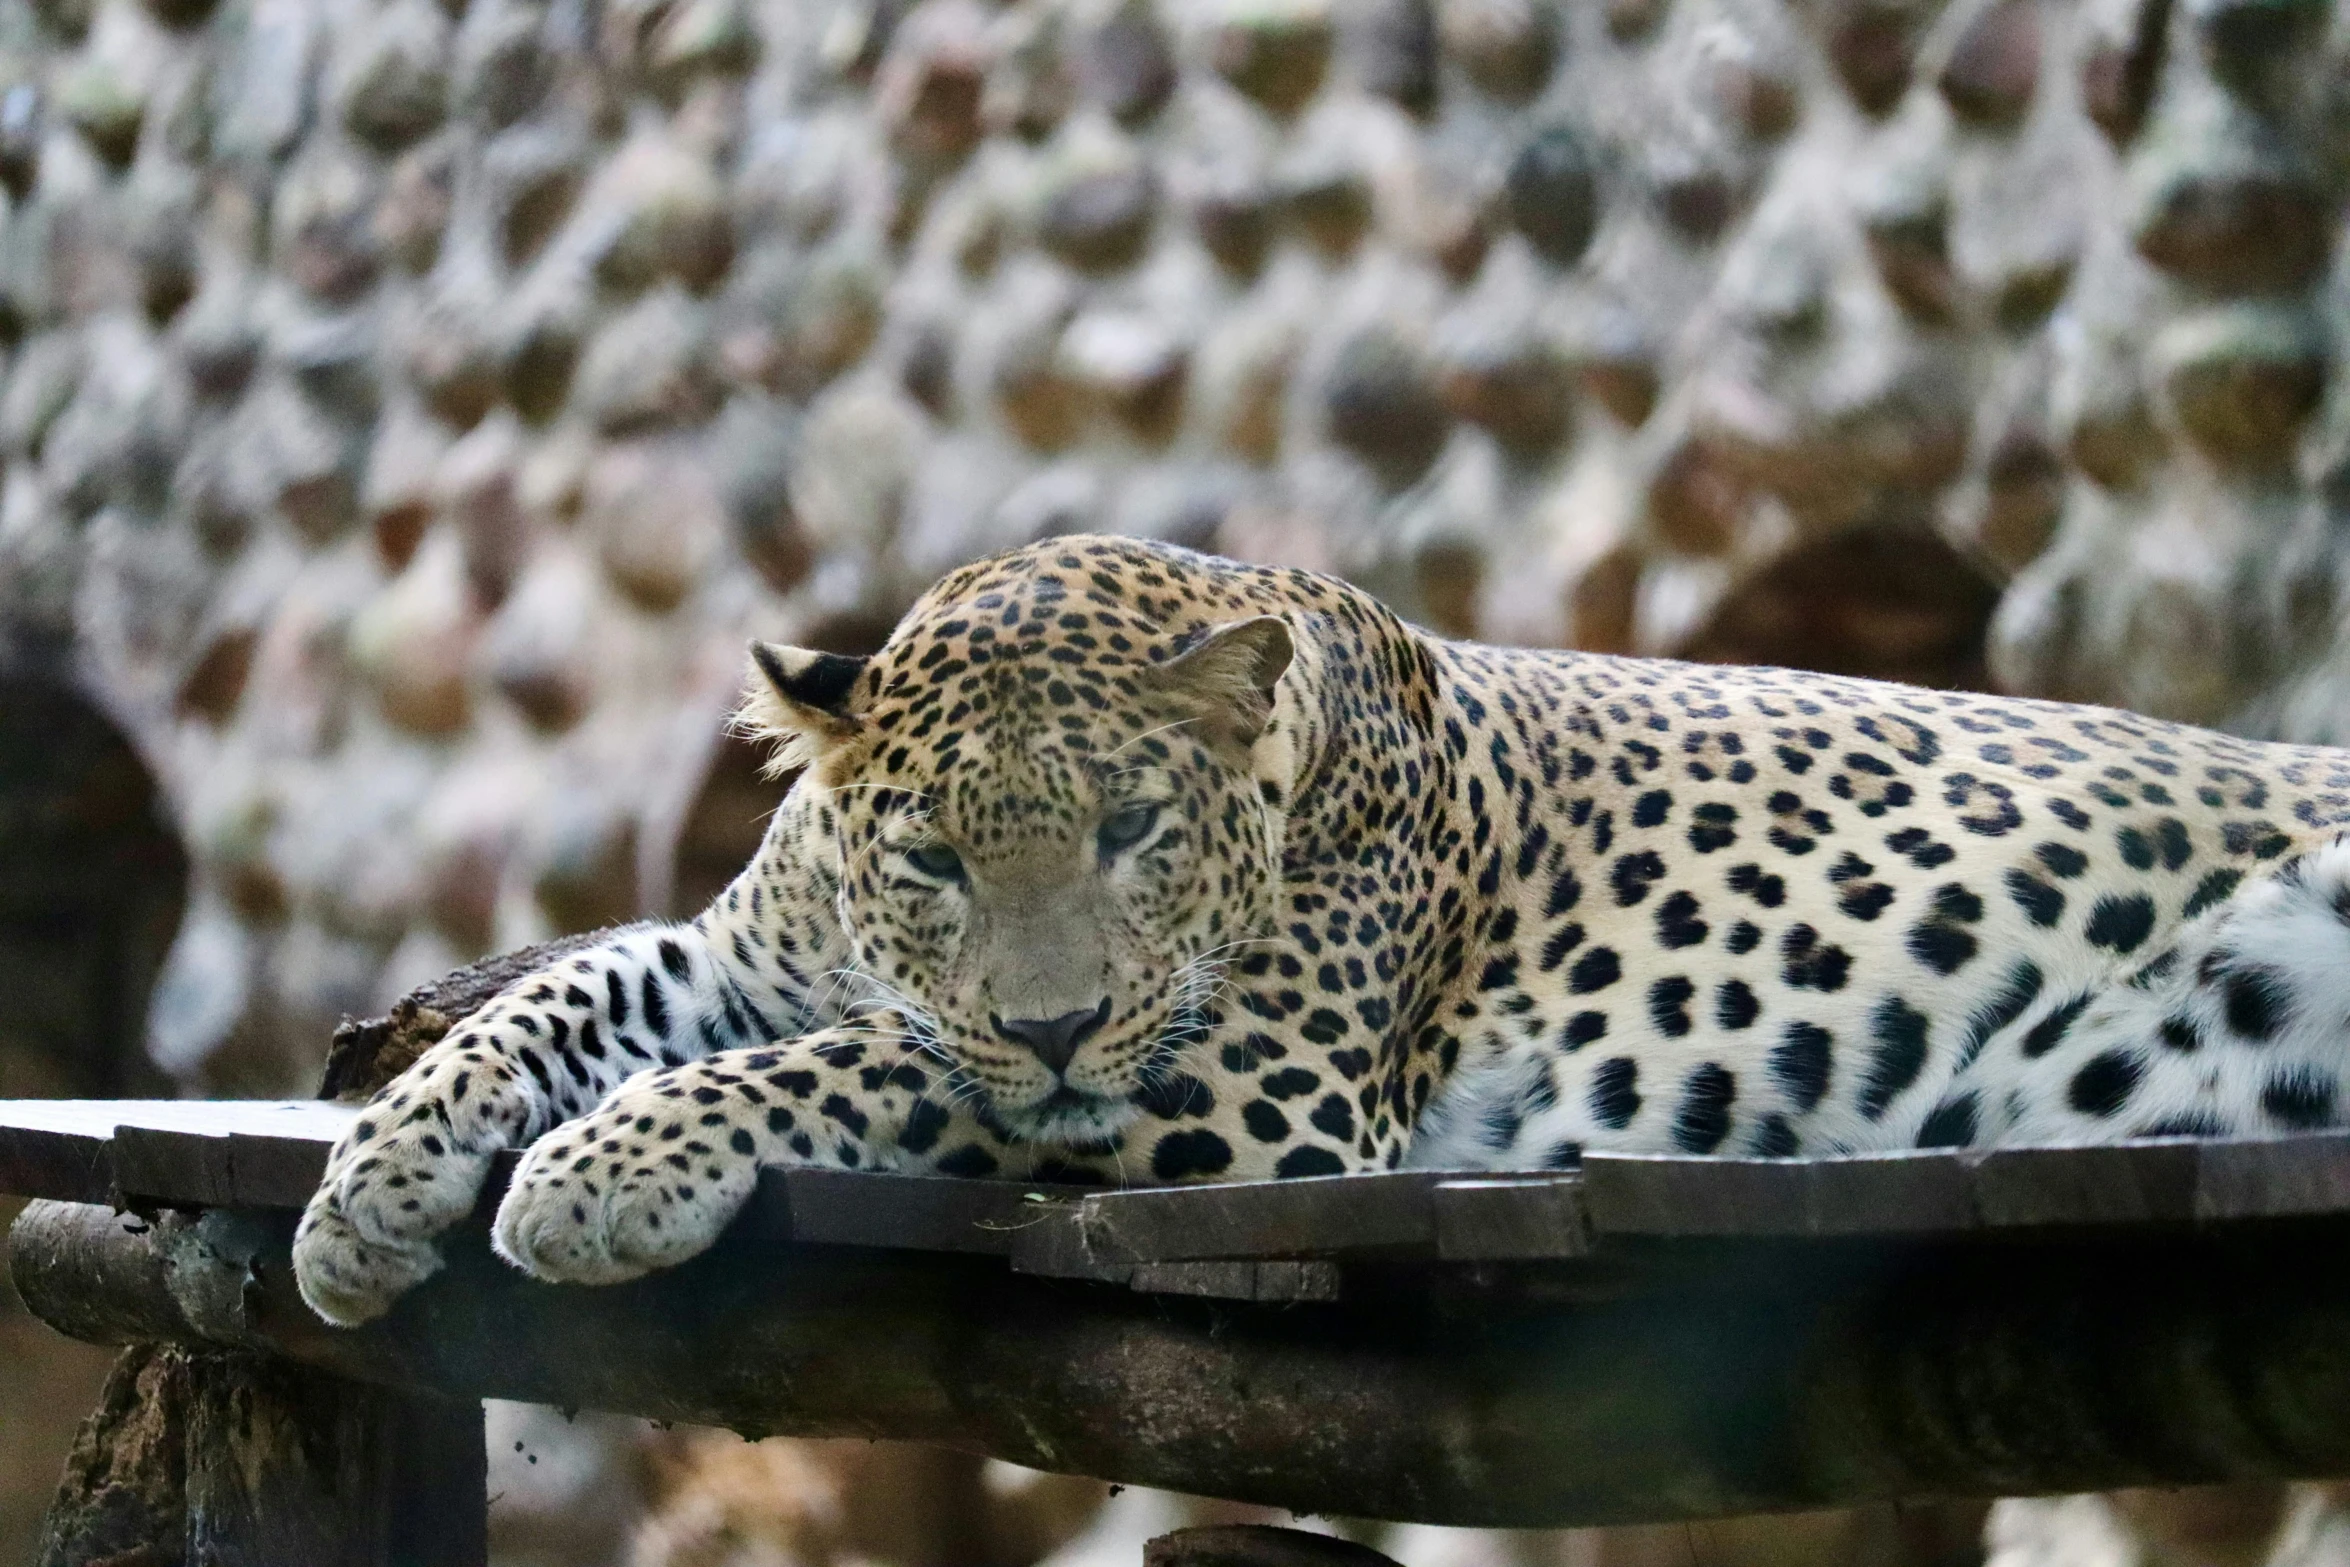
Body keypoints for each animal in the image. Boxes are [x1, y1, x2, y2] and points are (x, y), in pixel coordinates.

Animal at [298, 533, 2350, 1334]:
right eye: (933, 857)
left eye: (1130, 830)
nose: (1052, 1017)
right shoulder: (743, 957)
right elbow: (573, 991)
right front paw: (368, 1189)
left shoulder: (1243, 1087)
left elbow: (877, 1060)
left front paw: (598, 1173)